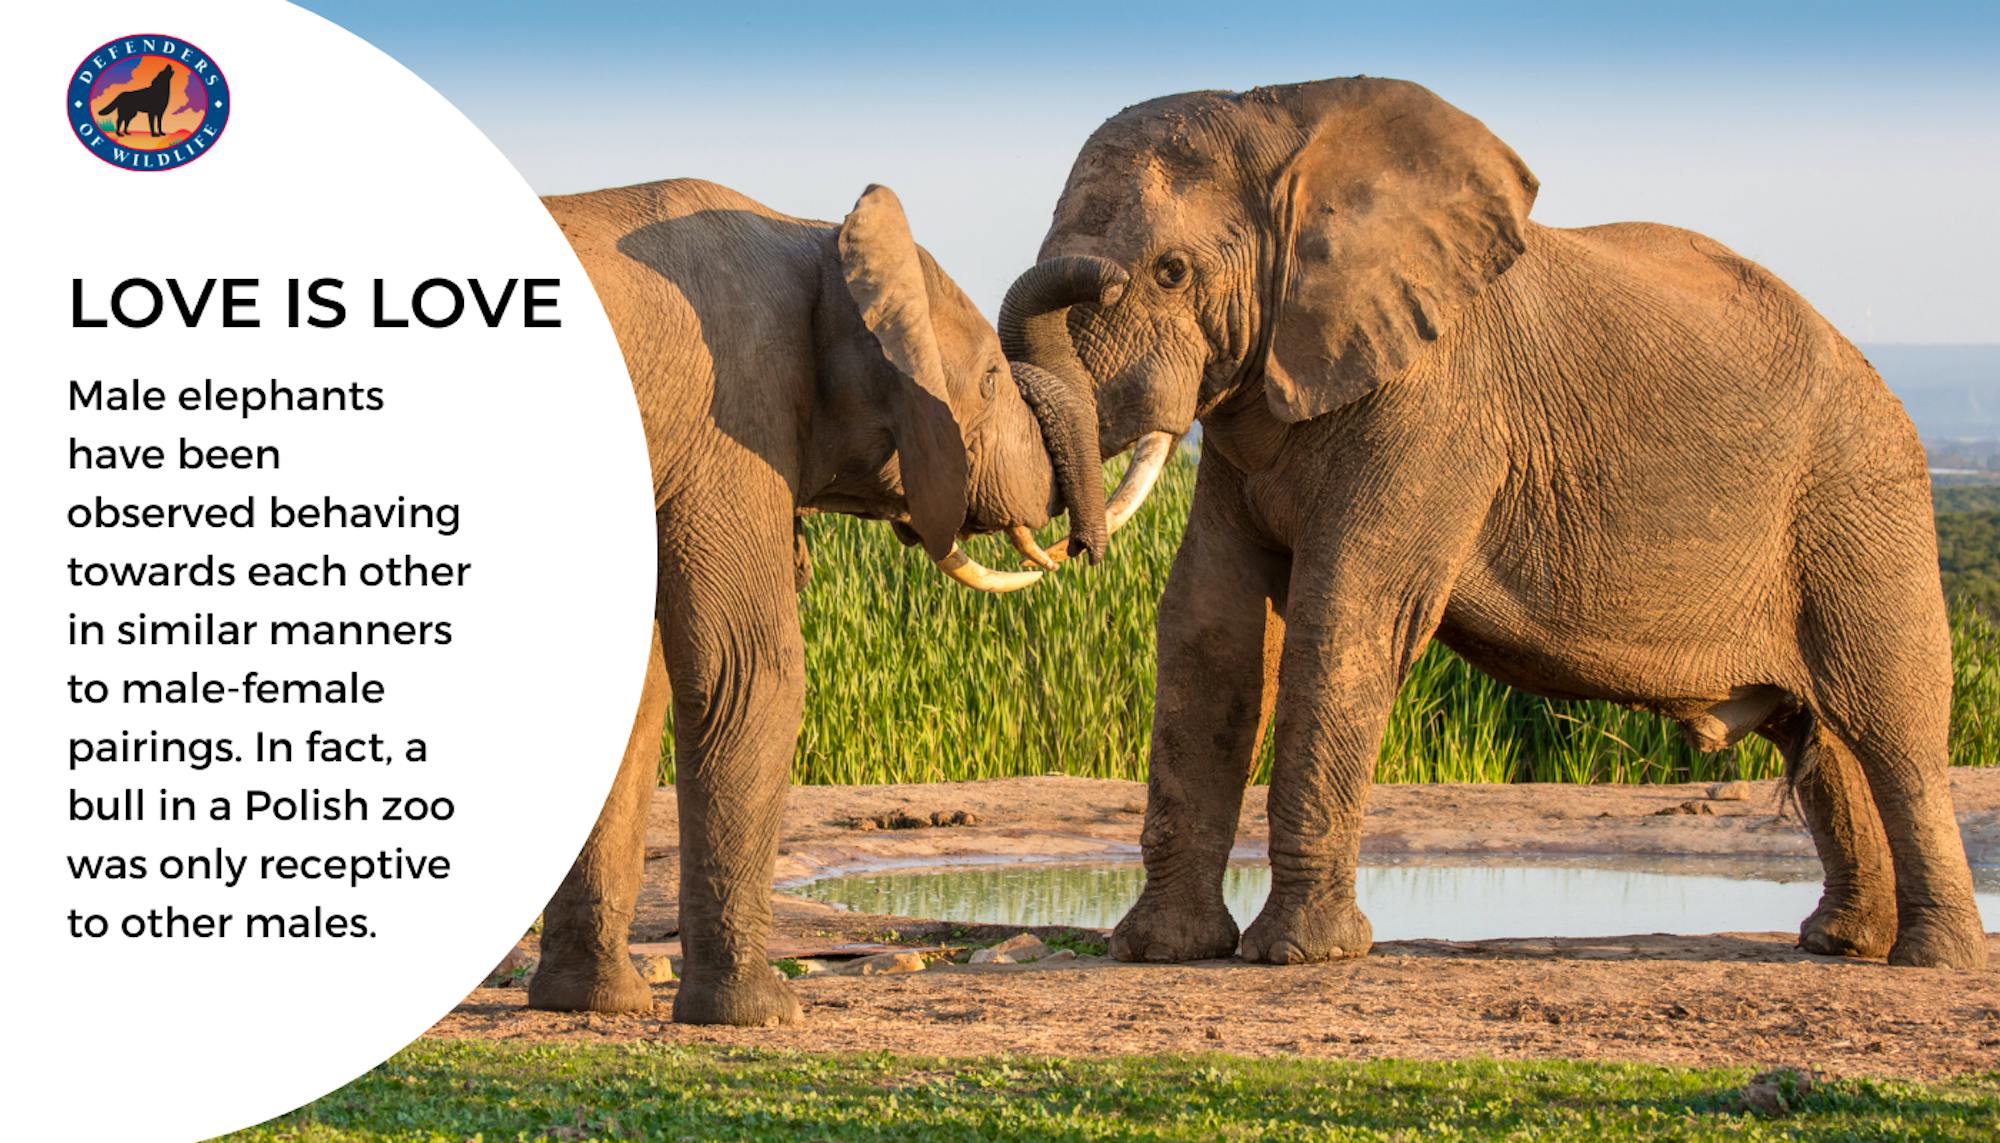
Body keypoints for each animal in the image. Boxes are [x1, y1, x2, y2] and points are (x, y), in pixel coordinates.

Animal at [529, 179, 1109, 1024]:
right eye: (993, 380)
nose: (1117, 279)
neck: (822, 239)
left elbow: (632, 690)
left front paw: (598, 1005)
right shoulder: (731, 410)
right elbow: (749, 669)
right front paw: (762, 1014)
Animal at [999, 77, 1987, 970]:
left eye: (1171, 272)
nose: (1075, 544)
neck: (1285, 120)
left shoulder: (1438, 403)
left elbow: (1344, 617)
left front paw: (1302, 956)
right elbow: (1212, 630)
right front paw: (1159, 951)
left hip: (1860, 499)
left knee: (1892, 719)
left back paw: (1933, 960)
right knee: (1820, 736)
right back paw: (1842, 944)